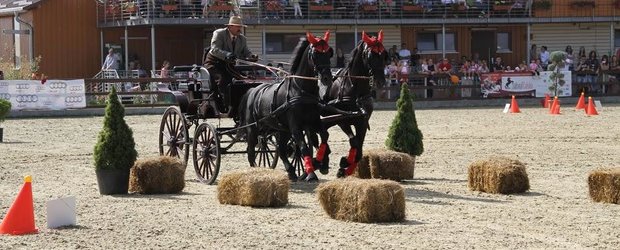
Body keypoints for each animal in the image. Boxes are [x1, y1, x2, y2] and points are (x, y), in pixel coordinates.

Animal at [239, 30, 334, 182]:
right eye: (314, 54)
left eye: (329, 52)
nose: (327, 78)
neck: (300, 91)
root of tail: (252, 90)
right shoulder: (296, 127)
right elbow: (303, 147)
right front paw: (311, 173)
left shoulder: (314, 122)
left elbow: (324, 137)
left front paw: (322, 162)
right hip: (253, 128)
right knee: (251, 149)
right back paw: (255, 171)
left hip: (282, 130)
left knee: (281, 149)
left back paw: (291, 172)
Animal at [320, 29, 388, 178]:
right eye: (370, 55)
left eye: (384, 54)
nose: (380, 82)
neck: (355, 91)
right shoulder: (342, 121)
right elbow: (354, 142)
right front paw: (344, 162)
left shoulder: (362, 121)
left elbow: (359, 148)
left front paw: (344, 166)